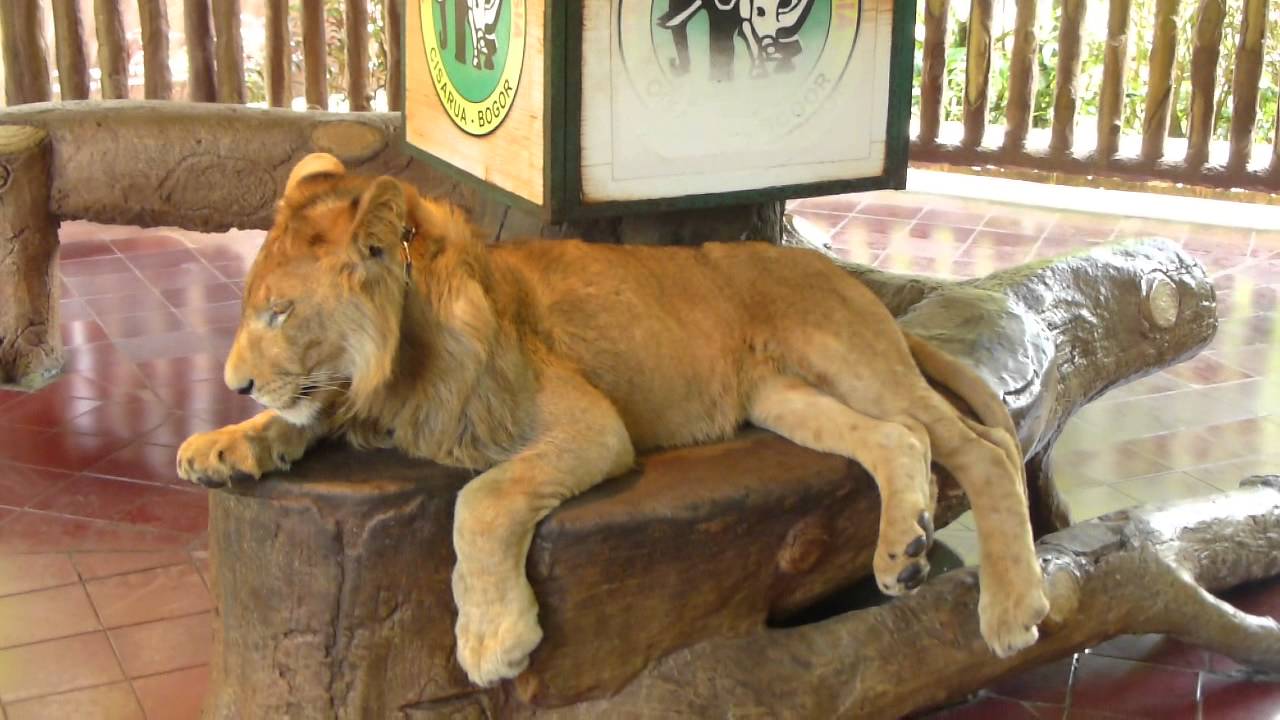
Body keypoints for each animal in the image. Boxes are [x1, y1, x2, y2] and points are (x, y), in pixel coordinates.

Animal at [178, 153, 1050, 687]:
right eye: (255, 307)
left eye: (281, 311)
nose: (234, 383)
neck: (404, 361)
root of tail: (838, 270)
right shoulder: (365, 400)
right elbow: (301, 415)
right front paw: (223, 444)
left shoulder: (590, 426)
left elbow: (478, 501)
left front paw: (492, 640)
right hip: (787, 398)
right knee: (898, 440)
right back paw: (902, 553)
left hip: (853, 360)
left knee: (977, 447)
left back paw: (1012, 607)